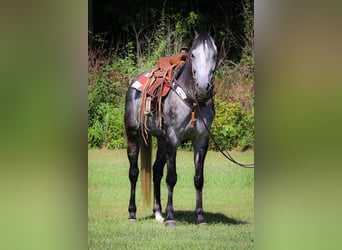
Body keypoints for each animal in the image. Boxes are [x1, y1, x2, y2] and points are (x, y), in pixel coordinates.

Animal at [124, 30, 218, 227]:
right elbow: (171, 177)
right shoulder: (173, 139)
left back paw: (158, 213)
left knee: (156, 171)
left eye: (215, 55)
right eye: (192, 54)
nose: (203, 87)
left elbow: (198, 179)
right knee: (134, 172)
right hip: (133, 135)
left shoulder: (201, 140)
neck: (193, 100)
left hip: (161, 140)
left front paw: (200, 217)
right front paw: (170, 218)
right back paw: (132, 213)